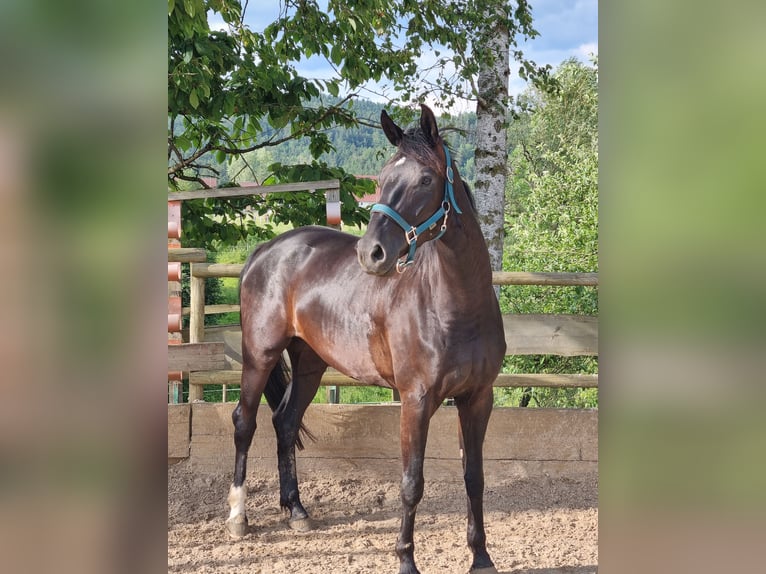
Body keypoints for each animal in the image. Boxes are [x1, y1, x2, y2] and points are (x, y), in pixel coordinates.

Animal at [226, 104, 506, 574]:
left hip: (310, 363)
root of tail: (266, 250)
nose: (371, 253)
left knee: (285, 421)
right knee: (244, 422)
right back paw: (237, 518)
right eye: (383, 176)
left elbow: (475, 476)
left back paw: (296, 511)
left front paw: (482, 558)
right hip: (259, 356)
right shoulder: (415, 400)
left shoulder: (477, 398)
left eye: (425, 179)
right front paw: (406, 560)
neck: (458, 306)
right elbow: (411, 483)